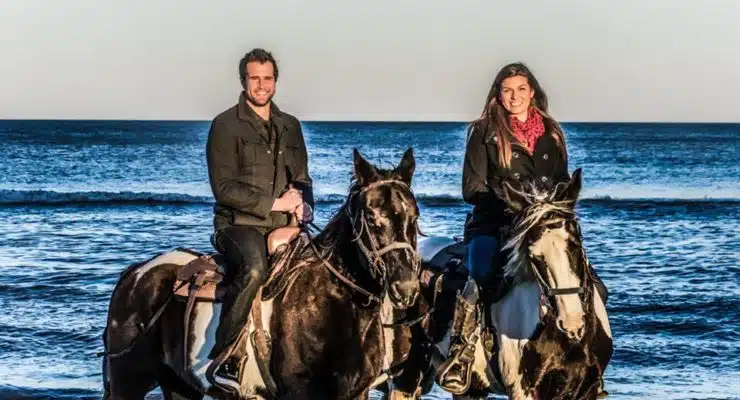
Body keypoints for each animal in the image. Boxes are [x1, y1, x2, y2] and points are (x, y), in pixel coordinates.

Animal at [100, 148, 422, 398]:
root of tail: (134, 274)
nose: (406, 287)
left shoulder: (356, 393)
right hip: (126, 383)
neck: (330, 301)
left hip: (180, 385)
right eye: (371, 216)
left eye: (414, 216)